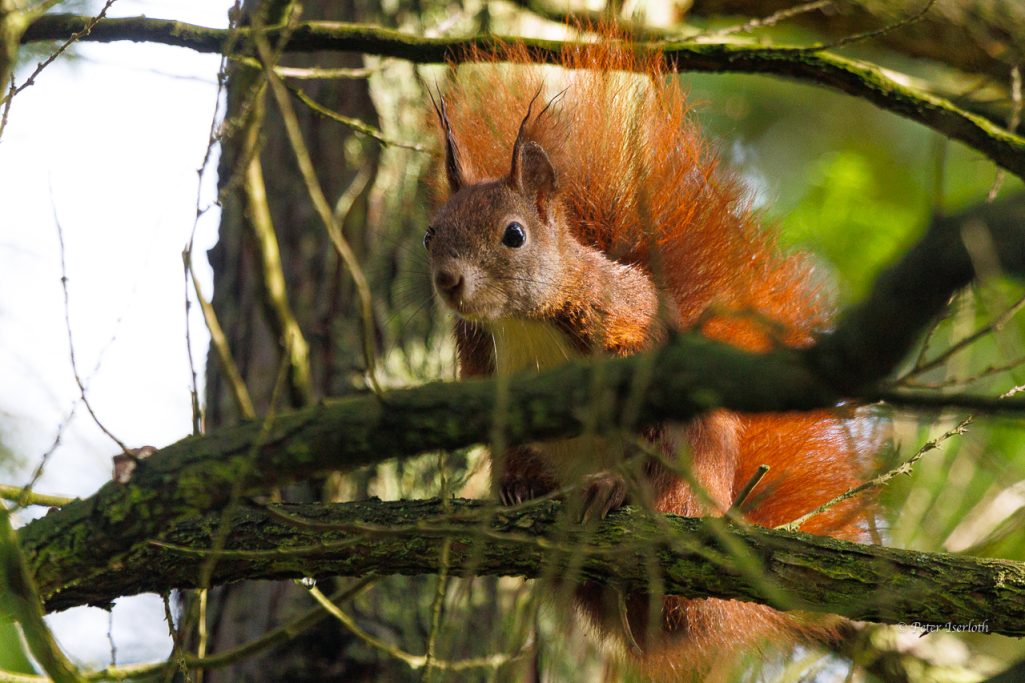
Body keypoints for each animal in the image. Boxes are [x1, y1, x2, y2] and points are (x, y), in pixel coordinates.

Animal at [424, 38, 873, 680]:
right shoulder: (484, 368)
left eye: (514, 235)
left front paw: (614, 485)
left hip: (698, 459)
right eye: (430, 234)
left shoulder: (626, 324)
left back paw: (617, 494)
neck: (523, 322)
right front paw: (511, 485)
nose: (448, 281)